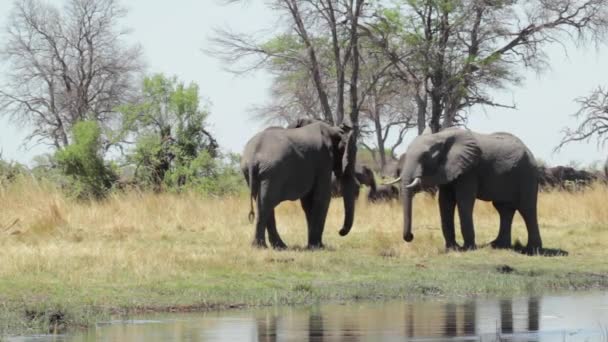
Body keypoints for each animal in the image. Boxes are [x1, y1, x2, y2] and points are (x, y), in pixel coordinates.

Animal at [388, 127, 544, 252]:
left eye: (425, 156)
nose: (410, 237)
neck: (440, 136)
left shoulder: (469, 170)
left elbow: (464, 201)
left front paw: (468, 248)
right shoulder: (448, 171)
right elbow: (445, 202)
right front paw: (452, 248)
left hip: (527, 174)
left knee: (526, 209)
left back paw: (532, 250)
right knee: (504, 209)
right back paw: (498, 246)